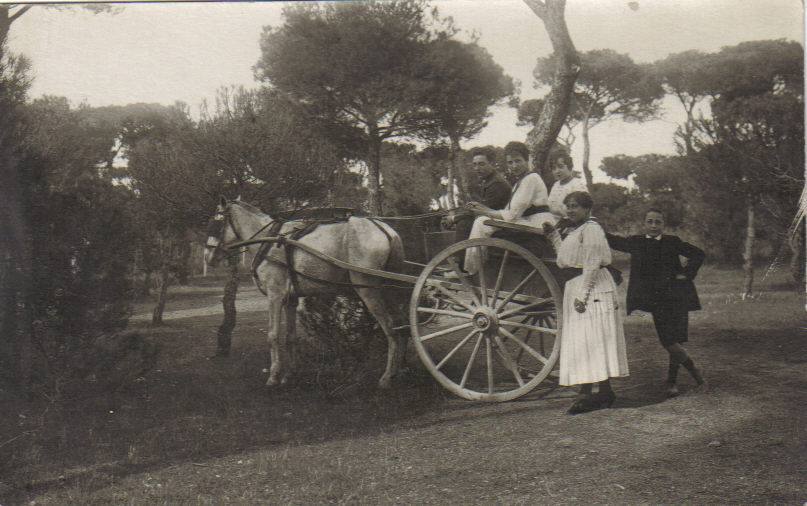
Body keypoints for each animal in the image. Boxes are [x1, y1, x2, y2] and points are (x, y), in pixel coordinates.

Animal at [205, 197, 408, 388]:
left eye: (216, 222)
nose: (208, 257)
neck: (268, 239)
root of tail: (384, 229)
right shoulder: (290, 300)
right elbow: (290, 337)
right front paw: (290, 374)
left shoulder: (275, 296)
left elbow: (273, 336)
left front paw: (274, 376)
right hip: (389, 290)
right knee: (402, 324)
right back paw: (400, 371)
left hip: (368, 289)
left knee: (390, 328)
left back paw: (387, 377)